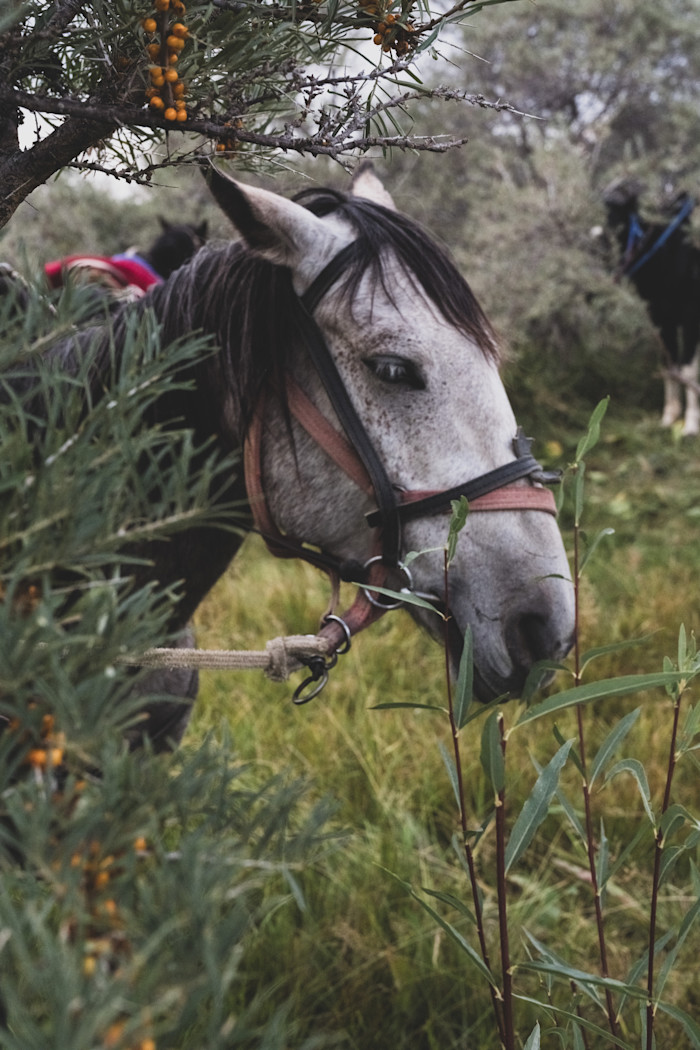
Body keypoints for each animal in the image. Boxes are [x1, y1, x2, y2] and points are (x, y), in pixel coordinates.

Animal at [603, 179, 700, 436]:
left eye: (618, 216)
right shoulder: (660, 316)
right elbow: (669, 364)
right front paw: (669, 417)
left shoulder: (690, 317)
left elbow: (687, 369)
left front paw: (691, 425)